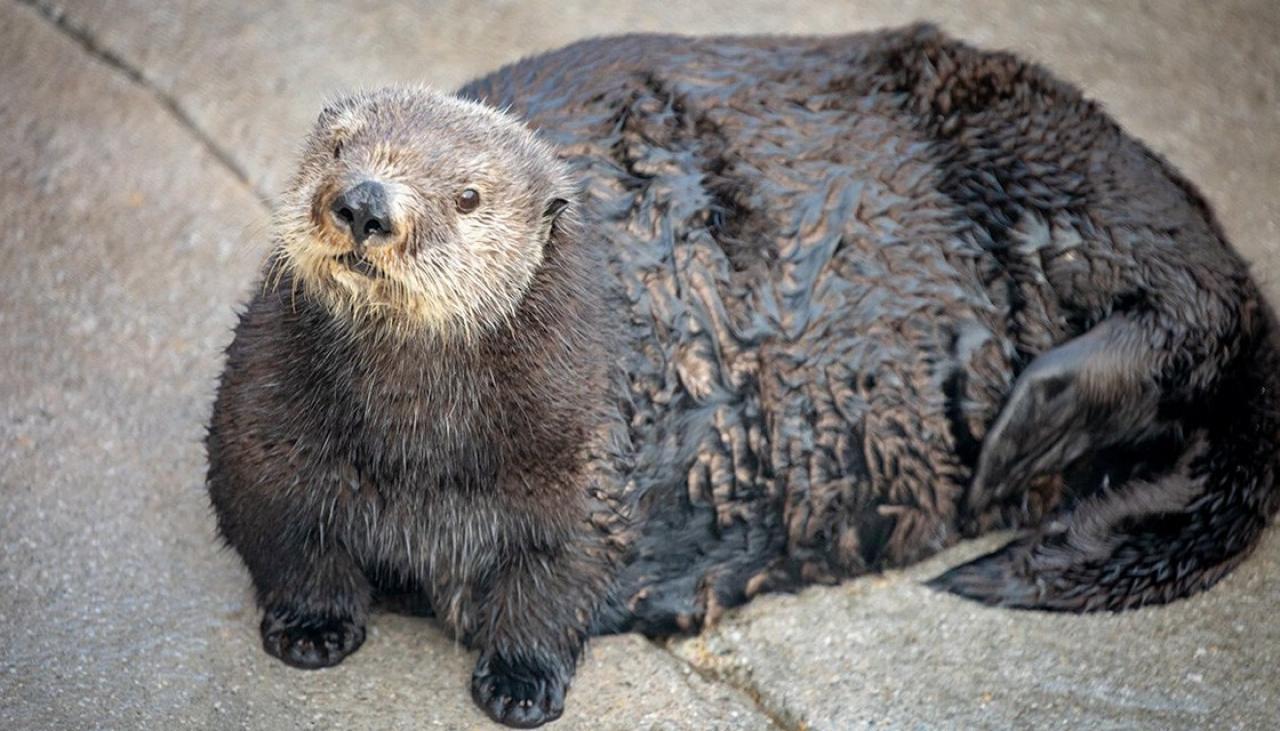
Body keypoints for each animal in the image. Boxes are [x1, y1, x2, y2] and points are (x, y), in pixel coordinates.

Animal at [202, 22, 1280, 727]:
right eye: (338, 146)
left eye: (466, 196)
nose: (364, 202)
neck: (416, 450)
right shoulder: (262, 420)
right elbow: (281, 530)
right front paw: (310, 629)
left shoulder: (583, 454)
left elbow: (558, 573)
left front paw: (521, 681)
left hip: (1049, 153)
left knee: (1201, 304)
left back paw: (1029, 423)